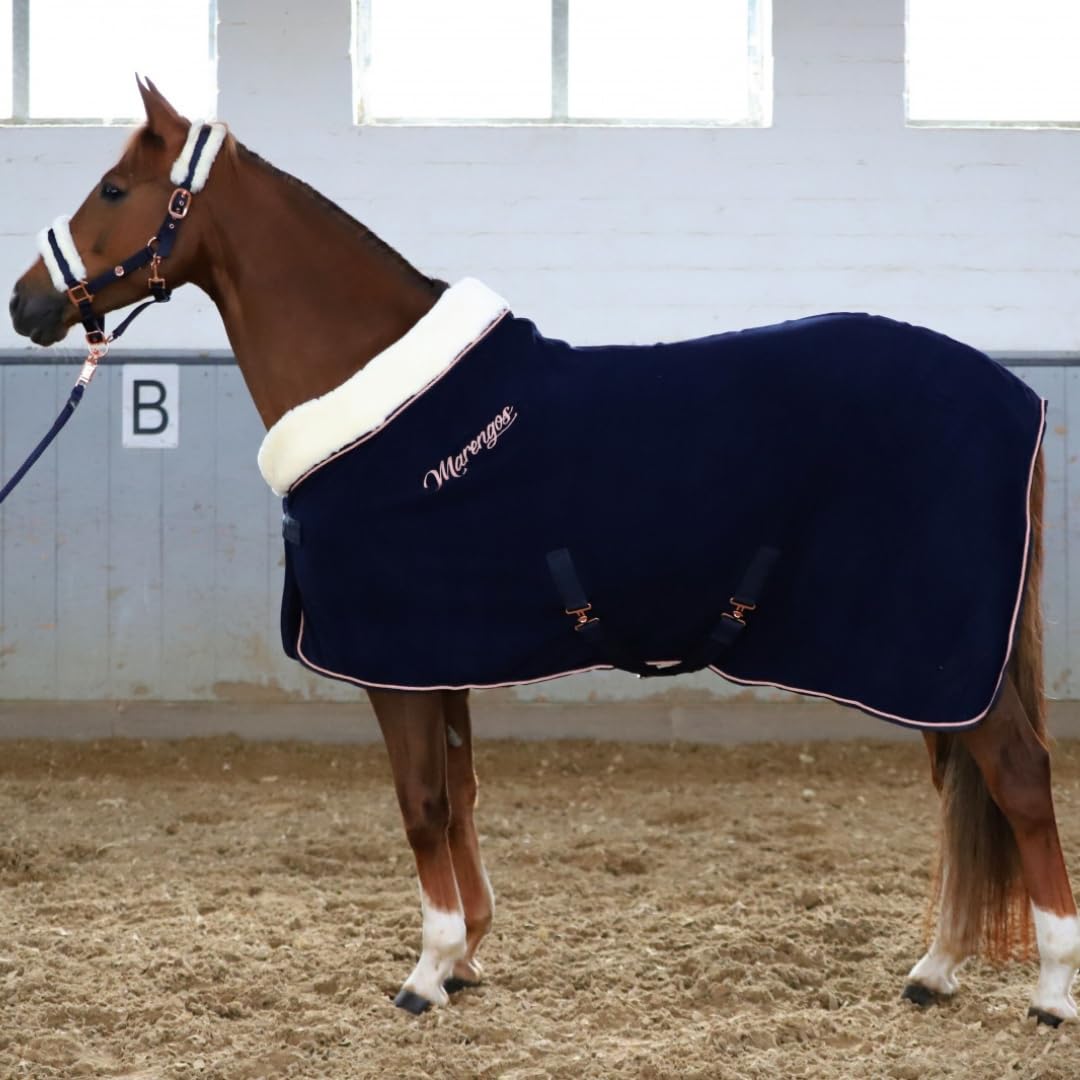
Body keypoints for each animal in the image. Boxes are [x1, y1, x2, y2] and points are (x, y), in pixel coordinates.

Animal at [7, 78, 1079, 1023]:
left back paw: (1051, 991)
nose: (26, 305)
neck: (386, 407)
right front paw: (466, 954)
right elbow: (461, 794)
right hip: (934, 669)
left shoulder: (397, 663)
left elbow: (421, 803)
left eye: (113, 188)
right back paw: (936, 970)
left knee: (1018, 780)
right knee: (963, 790)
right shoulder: (439, 661)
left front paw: (427, 971)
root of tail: (1016, 395)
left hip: (942, 654)